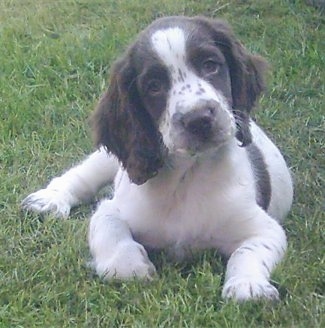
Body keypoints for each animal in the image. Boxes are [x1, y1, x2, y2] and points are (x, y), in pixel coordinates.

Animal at [21, 16, 292, 302]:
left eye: (210, 65)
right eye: (153, 86)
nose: (199, 119)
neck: (187, 176)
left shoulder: (263, 227)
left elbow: (248, 252)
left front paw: (248, 287)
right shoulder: (113, 209)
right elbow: (111, 236)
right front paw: (135, 267)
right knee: (81, 176)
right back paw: (48, 199)